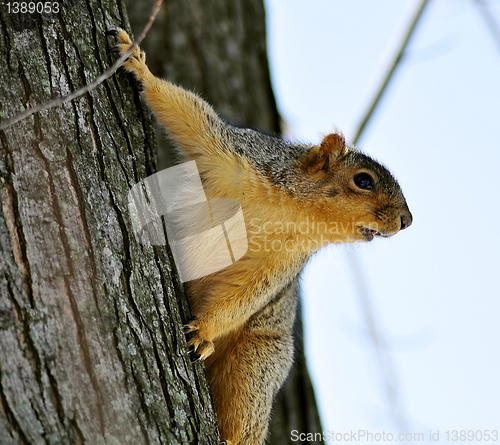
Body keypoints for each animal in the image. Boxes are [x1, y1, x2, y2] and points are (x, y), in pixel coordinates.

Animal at [110, 30, 414, 444]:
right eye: (364, 181)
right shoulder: (233, 155)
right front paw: (138, 64)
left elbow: (248, 293)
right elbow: (189, 115)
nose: (407, 220)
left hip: (256, 363)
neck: (295, 210)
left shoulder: (281, 261)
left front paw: (203, 329)